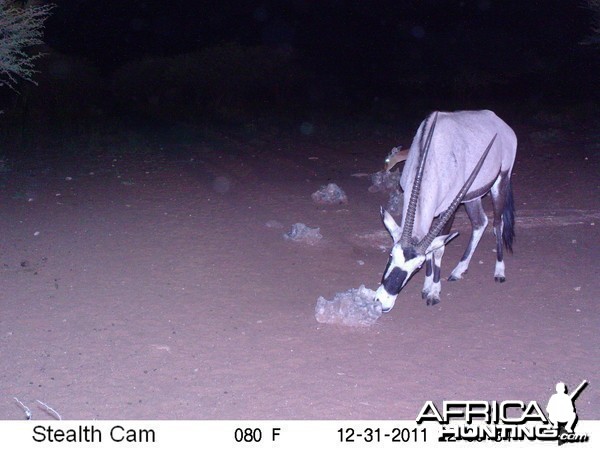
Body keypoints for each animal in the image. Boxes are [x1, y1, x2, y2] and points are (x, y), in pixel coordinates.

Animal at [376, 110, 516, 312]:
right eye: (391, 254)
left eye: (416, 267)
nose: (383, 302)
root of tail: (500, 123)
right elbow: (430, 248)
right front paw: (427, 286)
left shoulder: (449, 209)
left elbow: (438, 249)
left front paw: (434, 292)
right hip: (471, 195)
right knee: (480, 222)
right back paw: (459, 270)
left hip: (500, 181)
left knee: (498, 223)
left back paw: (499, 271)